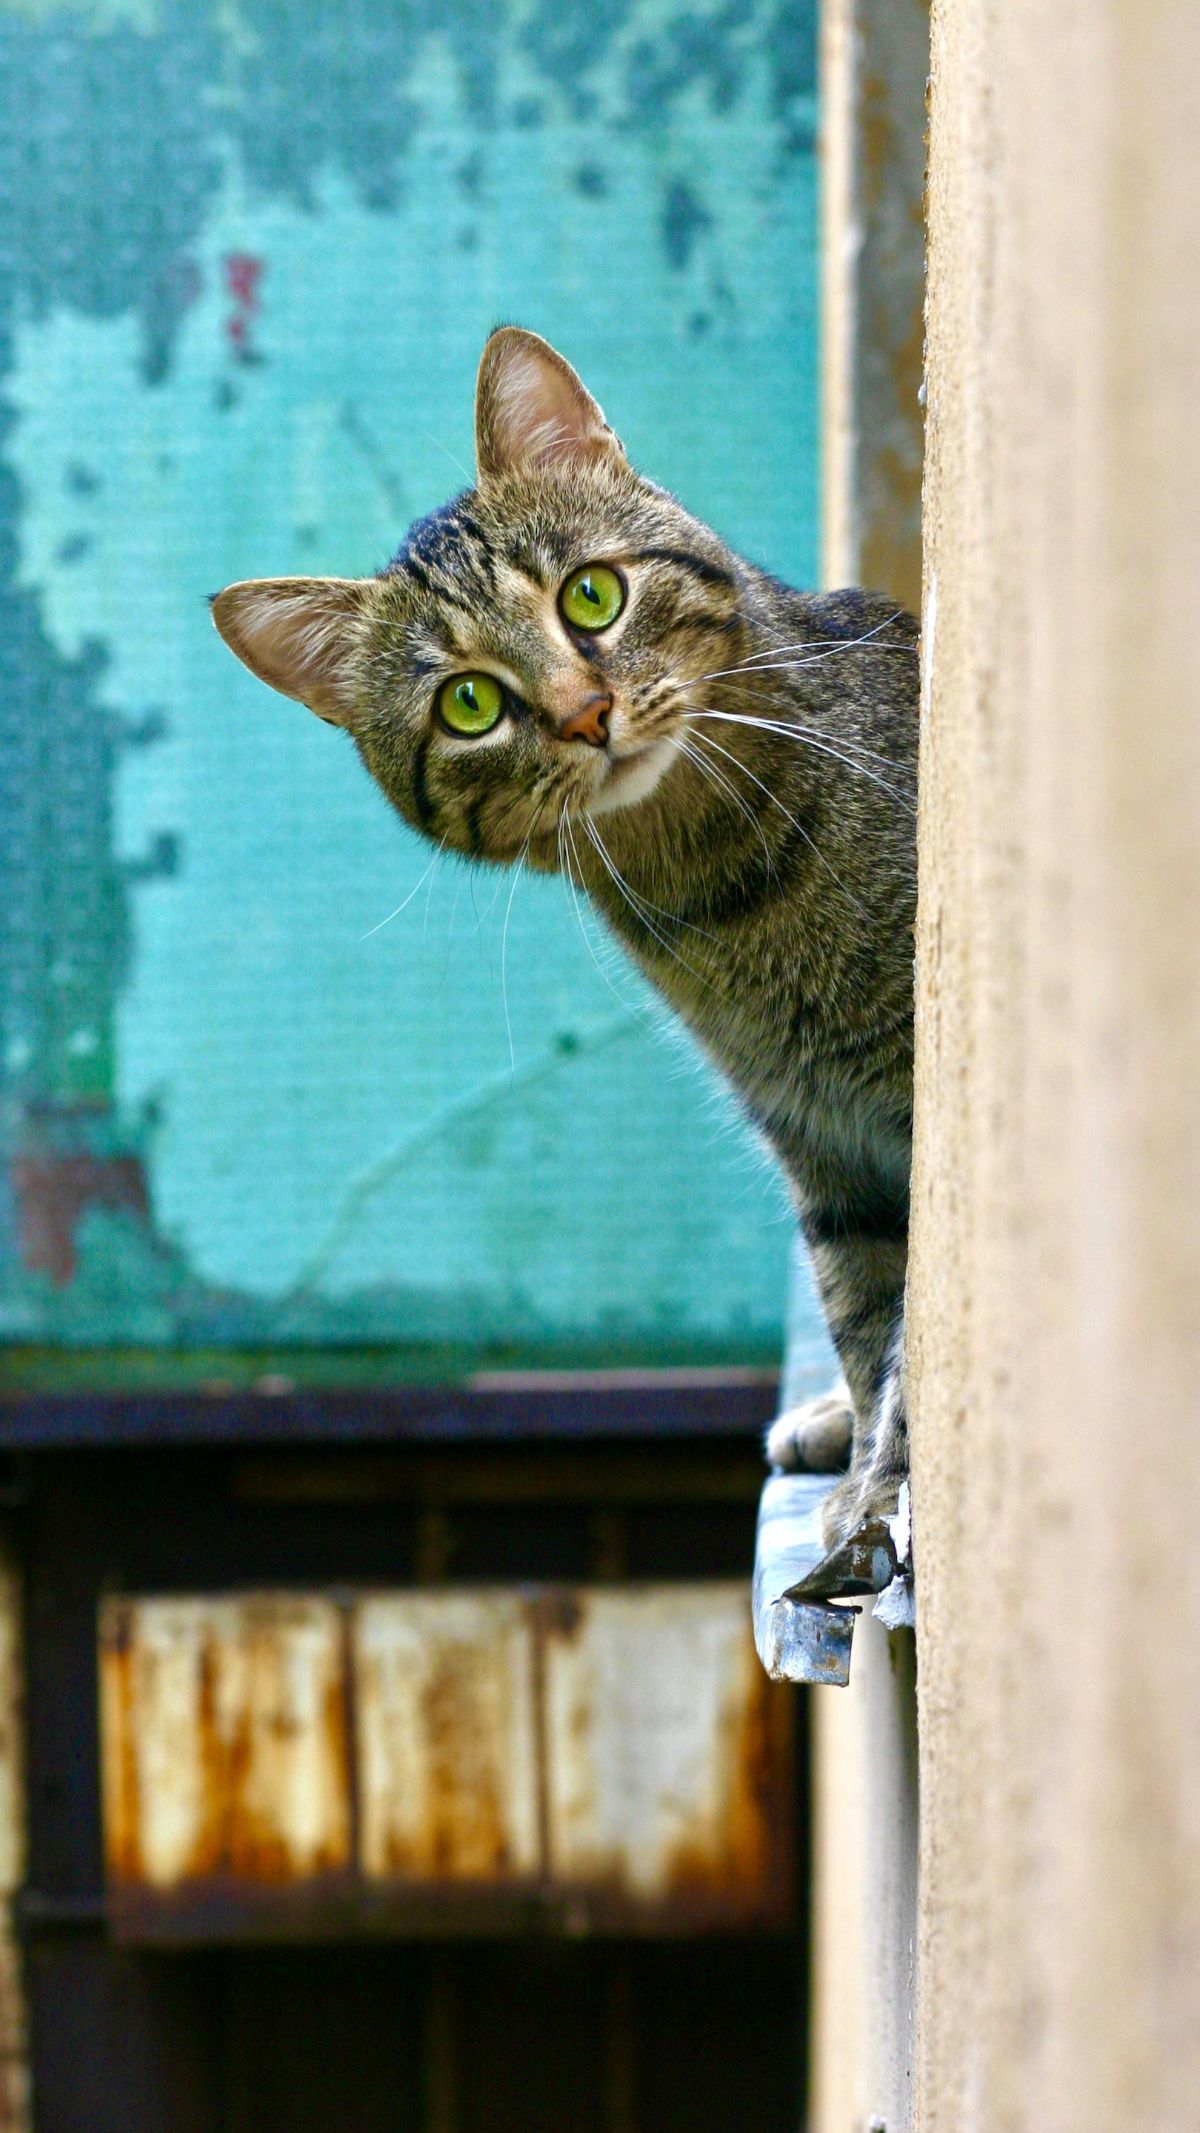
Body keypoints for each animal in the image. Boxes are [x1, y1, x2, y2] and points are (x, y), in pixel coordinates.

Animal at [211, 332, 920, 1569]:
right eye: (470, 704)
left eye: (592, 594)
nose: (587, 714)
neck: (717, 891)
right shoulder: (825, 1146)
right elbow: (869, 1320)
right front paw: (863, 1475)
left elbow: (919, 1349)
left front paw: (878, 1498)